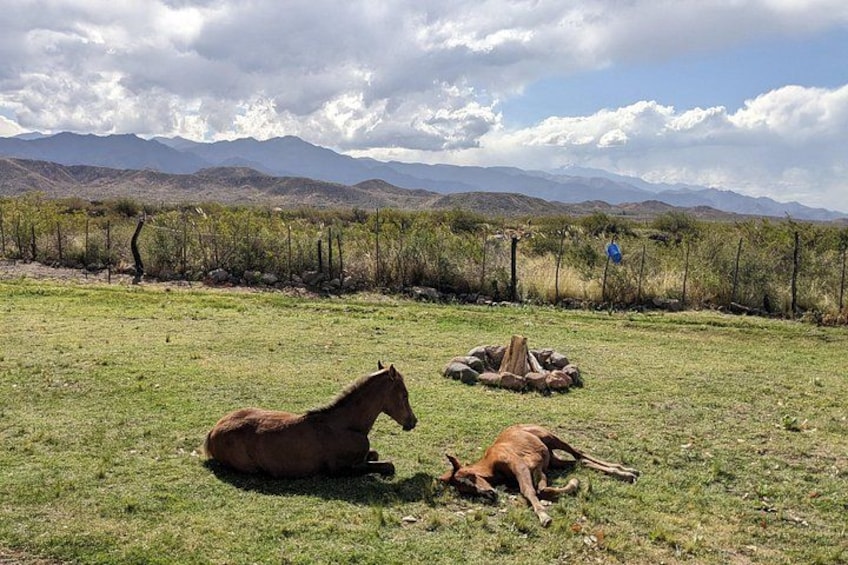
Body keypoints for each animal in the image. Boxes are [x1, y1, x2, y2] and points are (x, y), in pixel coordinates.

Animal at [204, 363, 417, 478]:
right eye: (405, 395)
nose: (413, 421)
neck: (345, 424)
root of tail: (213, 432)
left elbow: (374, 454)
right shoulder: (339, 469)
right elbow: (387, 465)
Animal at [439, 424, 639, 526]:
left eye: (471, 476)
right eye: (466, 491)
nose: (490, 494)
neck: (492, 467)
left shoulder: (519, 465)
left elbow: (529, 490)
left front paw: (544, 516)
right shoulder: (539, 469)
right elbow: (543, 490)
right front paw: (574, 483)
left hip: (551, 437)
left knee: (578, 452)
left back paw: (627, 471)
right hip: (553, 459)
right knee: (580, 461)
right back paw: (626, 473)